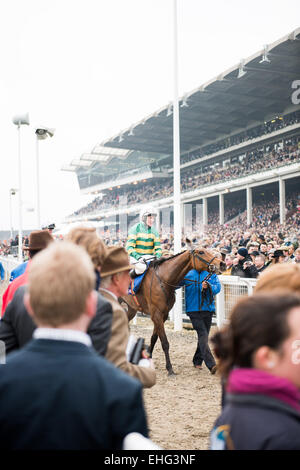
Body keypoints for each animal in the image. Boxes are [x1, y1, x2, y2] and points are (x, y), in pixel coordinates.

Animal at [120, 246, 226, 374]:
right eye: (201, 252)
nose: (222, 264)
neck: (163, 280)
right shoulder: (156, 314)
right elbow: (165, 342)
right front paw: (169, 368)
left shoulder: (163, 315)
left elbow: (154, 338)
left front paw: (148, 356)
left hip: (131, 309)